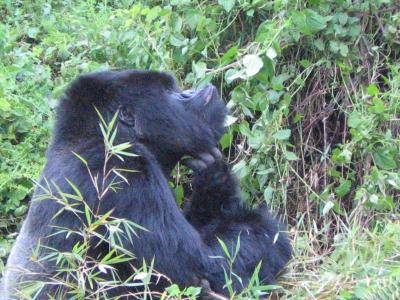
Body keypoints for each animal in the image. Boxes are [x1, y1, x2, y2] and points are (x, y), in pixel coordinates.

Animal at [1, 70, 292, 298]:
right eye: (168, 92)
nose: (193, 91)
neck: (108, 137)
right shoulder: (122, 172)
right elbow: (201, 269)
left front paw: (214, 181)